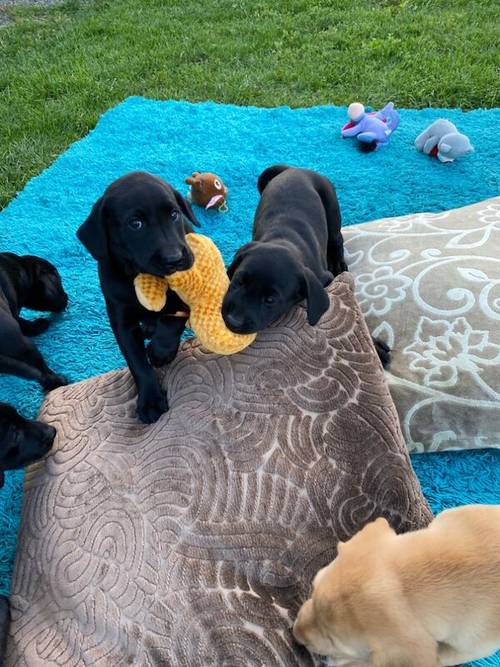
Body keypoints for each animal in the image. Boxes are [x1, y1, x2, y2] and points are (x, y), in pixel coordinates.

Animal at [0, 254, 68, 392]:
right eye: (59, 282)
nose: (67, 297)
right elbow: (25, 324)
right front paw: (41, 323)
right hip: (25, 345)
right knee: (42, 371)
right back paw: (58, 381)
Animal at [76, 171, 199, 422]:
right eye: (136, 224)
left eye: (174, 214)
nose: (174, 259)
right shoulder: (121, 319)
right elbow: (137, 362)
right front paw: (150, 400)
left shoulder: (187, 292)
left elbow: (172, 321)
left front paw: (160, 351)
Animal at [223, 165, 390, 368]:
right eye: (238, 281)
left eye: (270, 300)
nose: (233, 321)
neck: (283, 241)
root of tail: (294, 168)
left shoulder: (324, 280)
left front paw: (375, 346)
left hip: (331, 206)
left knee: (337, 238)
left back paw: (338, 263)